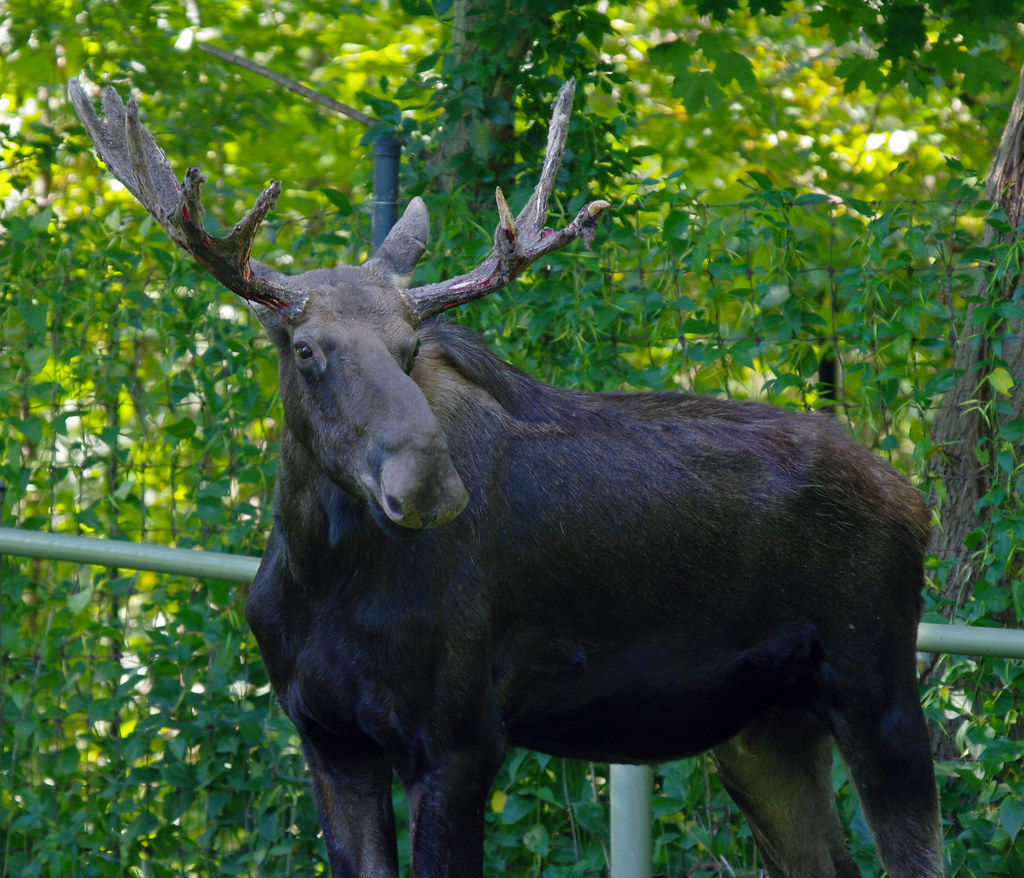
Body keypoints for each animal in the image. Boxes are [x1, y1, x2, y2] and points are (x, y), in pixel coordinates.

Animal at [70, 73, 944, 878]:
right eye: (307, 347)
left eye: (411, 348)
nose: (428, 484)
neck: (321, 573)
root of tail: (914, 500)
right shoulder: (328, 739)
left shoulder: (460, 741)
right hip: (763, 732)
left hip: (879, 694)